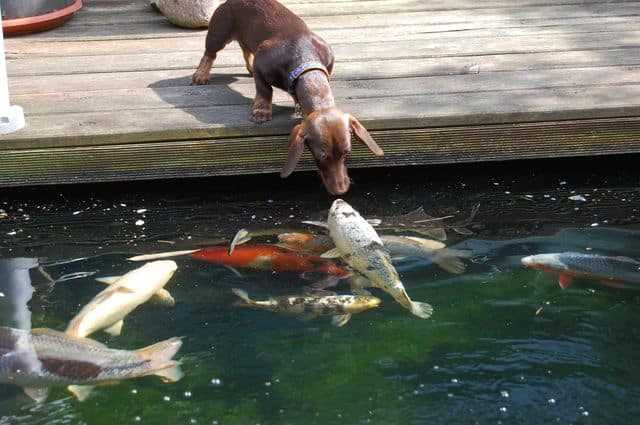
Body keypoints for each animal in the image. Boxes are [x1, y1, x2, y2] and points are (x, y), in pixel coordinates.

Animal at [192, 0, 382, 195]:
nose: (341, 191)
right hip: (219, 31)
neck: (304, 58)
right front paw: (261, 111)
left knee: (245, 50)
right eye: (322, 156)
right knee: (210, 54)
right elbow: (264, 90)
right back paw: (201, 75)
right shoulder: (261, 63)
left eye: (347, 153)